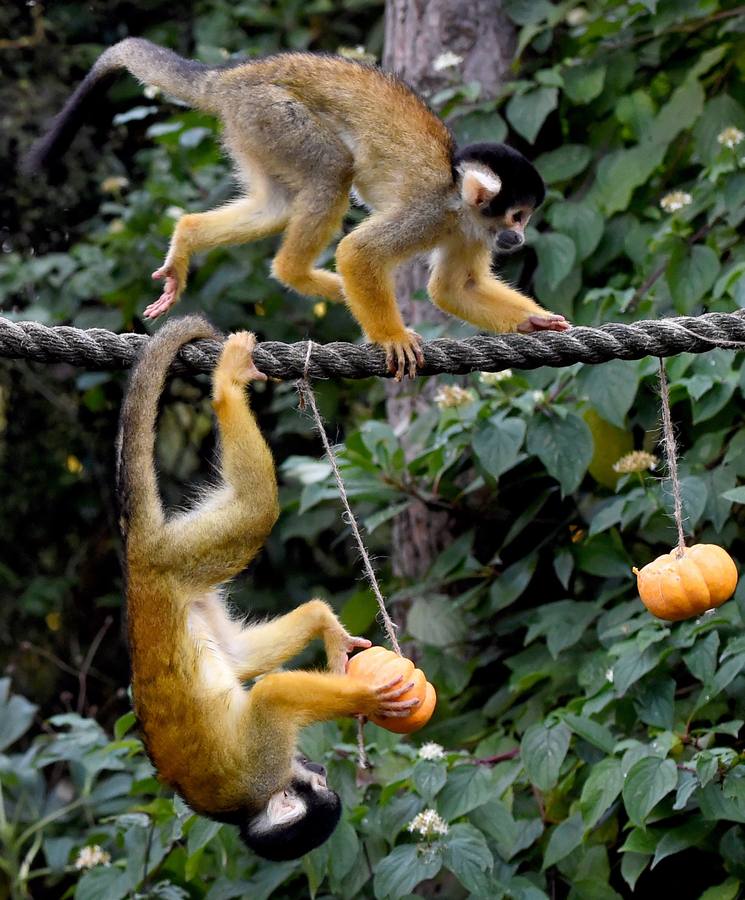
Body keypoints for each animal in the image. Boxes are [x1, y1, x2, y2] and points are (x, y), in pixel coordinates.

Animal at [25, 39, 570, 380]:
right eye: (517, 216)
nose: (519, 238)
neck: (461, 205)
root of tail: (231, 76)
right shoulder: (431, 213)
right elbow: (359, 252)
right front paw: (391, 337)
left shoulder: (471, 231)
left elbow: (455, 289)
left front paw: (534, 323)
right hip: (272, 114)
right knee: (332, 172)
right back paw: (300, 273)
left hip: (252, 128)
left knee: (276, 205)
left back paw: (189, 235)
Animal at [116, 315, 420, 860]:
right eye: (319, 785)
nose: (317, 767)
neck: (248, 810)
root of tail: (137, 556)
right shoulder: (265, 764)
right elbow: (273, 698)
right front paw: (368, 700)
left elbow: (252, 674)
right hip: (176, 563)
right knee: (258, 513)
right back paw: (227, 390)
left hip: (178, 571)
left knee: (236, 635)